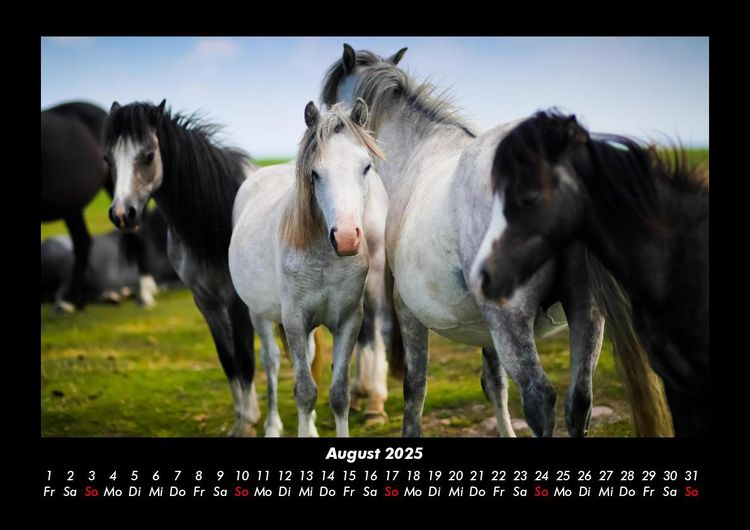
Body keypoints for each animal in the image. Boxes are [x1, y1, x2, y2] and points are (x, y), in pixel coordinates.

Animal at [103, 100, 260, 436]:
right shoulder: (206, 303)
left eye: (149, 156)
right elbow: (228, 360)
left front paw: (249, 423)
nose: (122, 214)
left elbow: (245, 358)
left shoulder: (236, 302)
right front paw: (242, 420)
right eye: (108, 158)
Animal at [229, 100, 386, 437]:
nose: (346, 237)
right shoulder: (294, 321)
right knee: (272, 363)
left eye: (366, 167)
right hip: (259, 314)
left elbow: (338, 394)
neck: (325, 260)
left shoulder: (349, 320)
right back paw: (272, 426)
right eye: (315, 173)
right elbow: (304, 391)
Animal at [321, 44, 663, 438]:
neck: (419, 153)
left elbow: (414, 388)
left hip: (511, 319)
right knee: (579, 402)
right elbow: (494, 384)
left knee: (539, 398)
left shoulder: (408, 310)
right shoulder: (485, 328)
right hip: (586, 312)